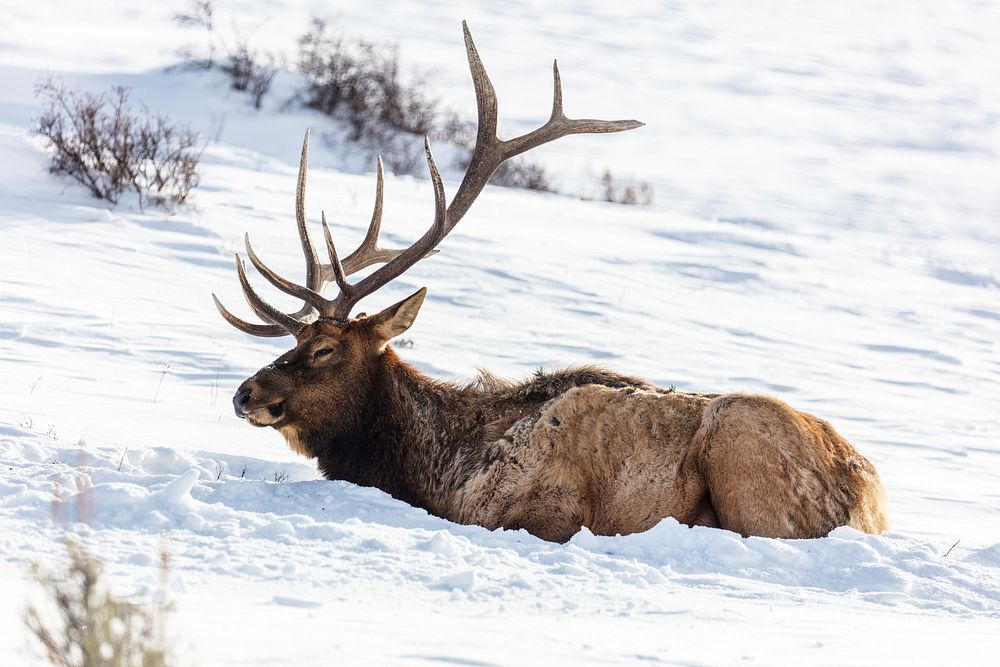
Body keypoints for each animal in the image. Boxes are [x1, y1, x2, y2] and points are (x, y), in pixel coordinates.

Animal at [215, 22, 888, 544]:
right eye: (291, 341)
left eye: (323, 349)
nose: (245, 392)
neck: (443, 466)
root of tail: (864, 491)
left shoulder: (543, 509)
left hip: (742, 451)